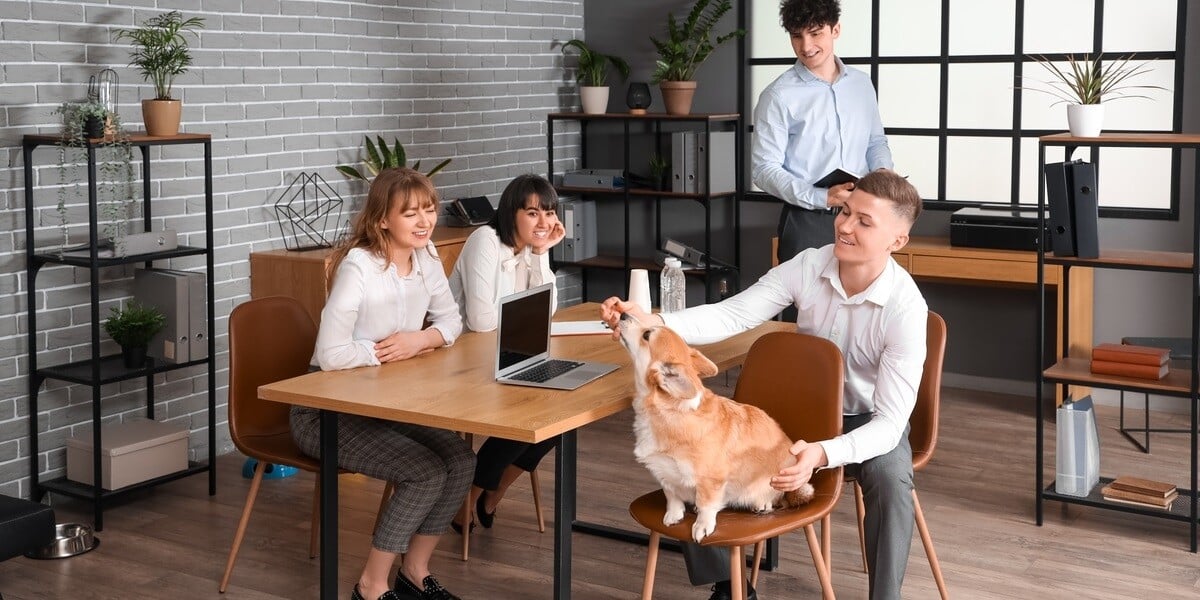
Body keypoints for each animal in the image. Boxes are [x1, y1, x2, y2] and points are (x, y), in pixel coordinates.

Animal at [614, 312, 811, 542]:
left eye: (646, 335)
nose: (623, 314)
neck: (666, 411)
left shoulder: (711, 480)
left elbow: (706, 505)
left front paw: (702, 526)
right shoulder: (665, 473)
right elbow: (672, 495)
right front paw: (674, 515)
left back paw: (762, 502)